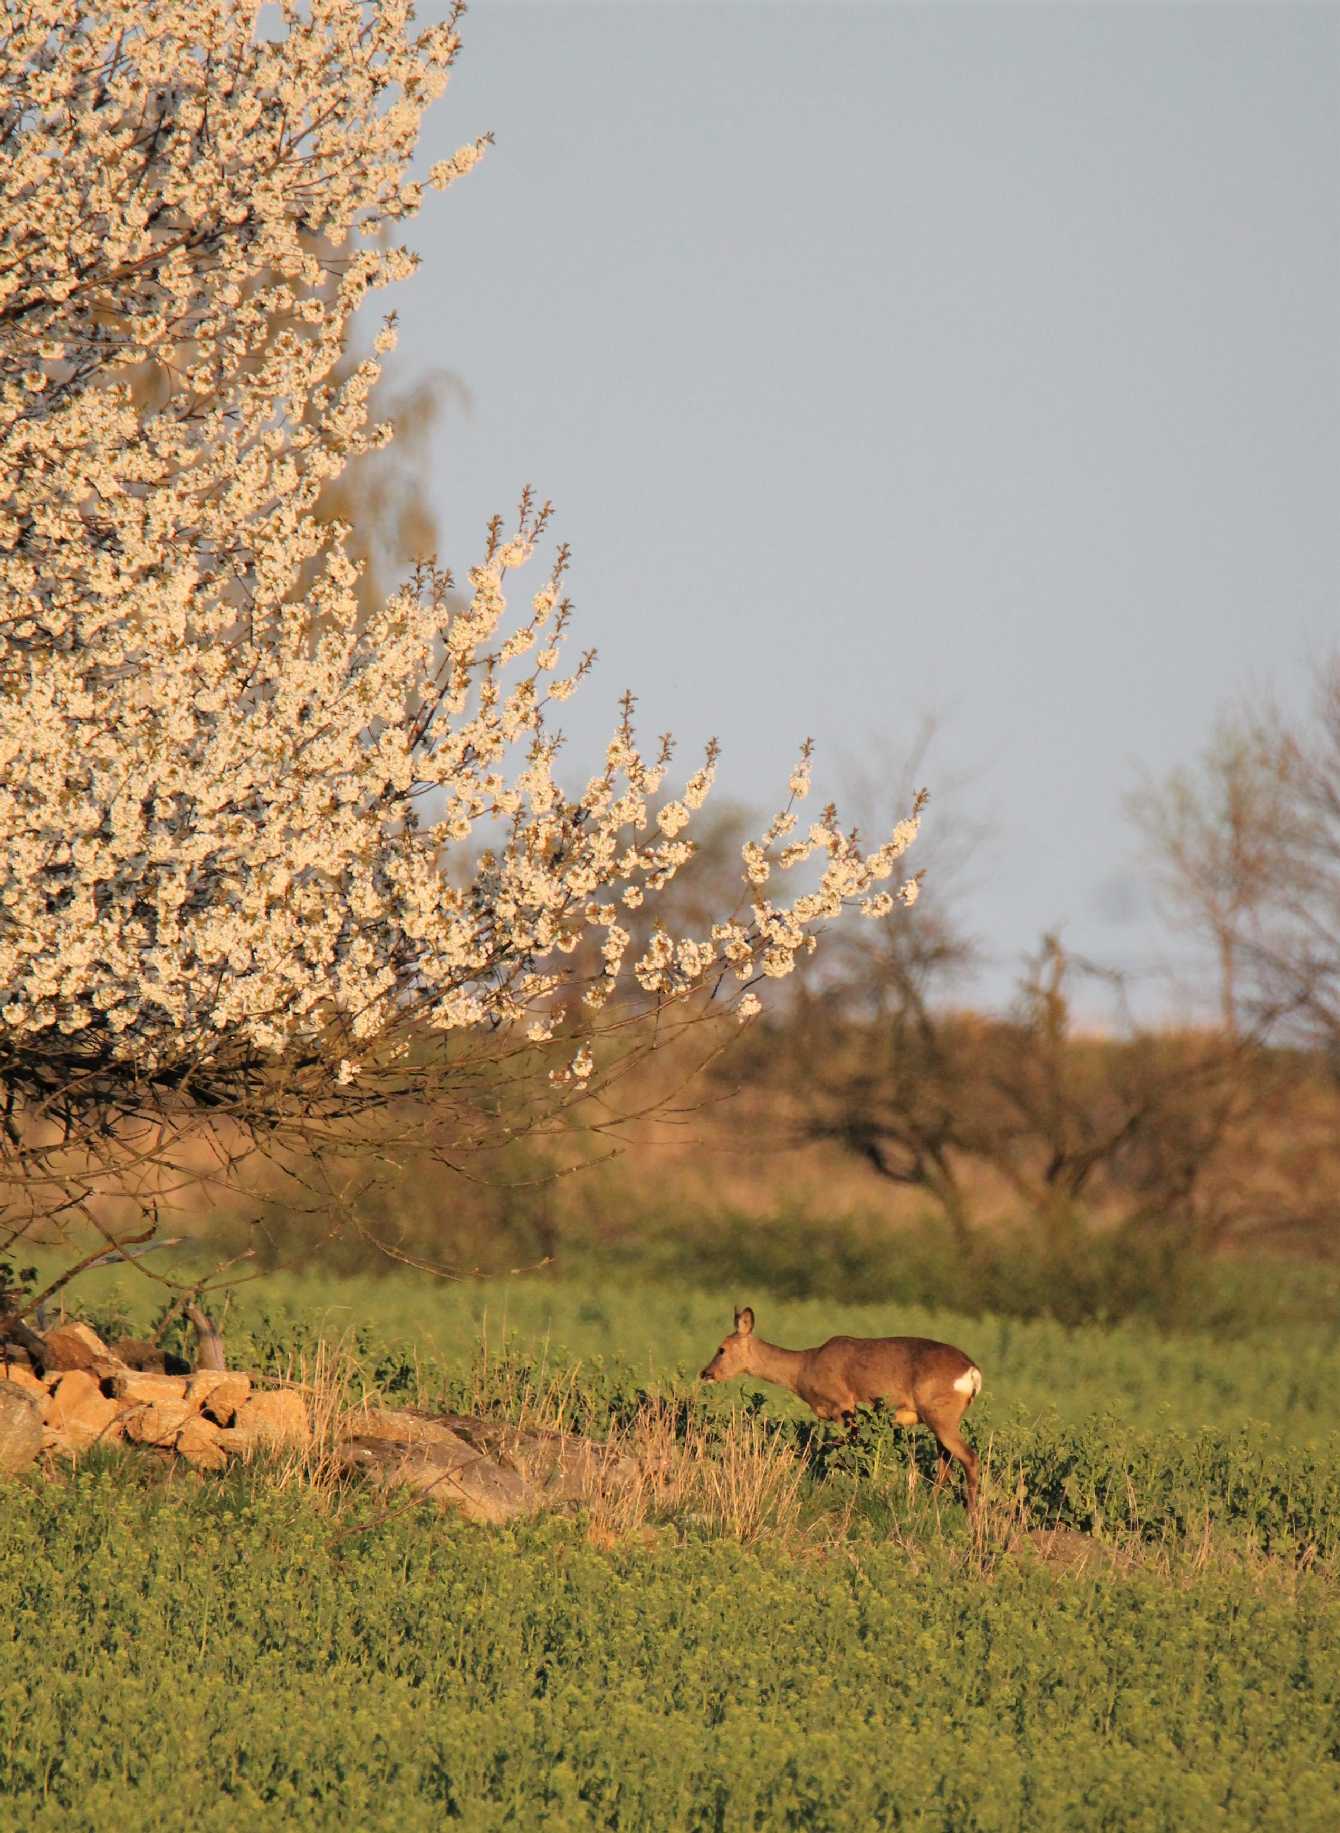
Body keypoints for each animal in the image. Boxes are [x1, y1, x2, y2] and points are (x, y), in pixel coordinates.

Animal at [703, 1305, 982, 1503]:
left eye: (721, 1349)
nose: (705, 1373)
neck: (804, 1368)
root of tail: (972, 1372)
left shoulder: (844, 1407)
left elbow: (827, 1450)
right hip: (940, 1419)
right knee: (946, 1464)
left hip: (940, 1415)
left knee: (969, 1458)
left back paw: (973, 1515)